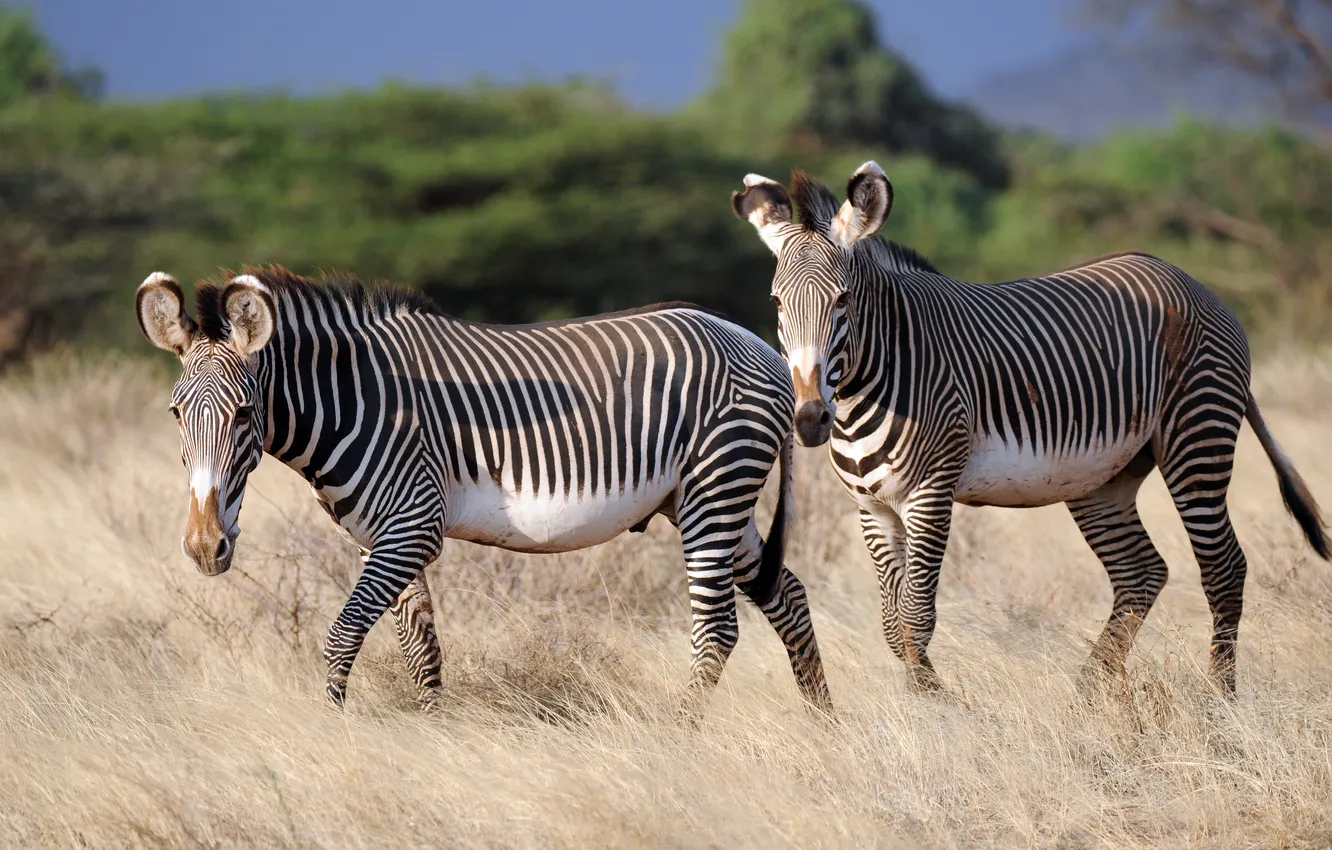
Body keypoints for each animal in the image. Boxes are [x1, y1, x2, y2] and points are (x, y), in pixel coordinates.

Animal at [134, 266, 831, 716]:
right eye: (174, 413)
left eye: (245, 414)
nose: (205, 548)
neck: (356, 401)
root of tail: (761, 346)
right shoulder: (384, 537)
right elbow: (421, 650)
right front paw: (433, 738)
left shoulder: (411, 525)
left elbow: (343, 635)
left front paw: (331, 735)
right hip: (704, 500)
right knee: (788, 596)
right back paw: (823, 725)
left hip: (717, 484)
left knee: (717, 630)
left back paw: (680, 734)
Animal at [732, 161, 1329, 697]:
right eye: (777, 303)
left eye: (843, 300)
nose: (810, 420)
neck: (869, 383)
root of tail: (1192, 282)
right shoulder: (871, 507)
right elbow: (891, 623)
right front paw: (921, 701)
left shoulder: (930, 493)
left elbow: (915, 616)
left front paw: (935, 709)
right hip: (1103, 478)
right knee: (1141, 573)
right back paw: (1086, 695)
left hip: (1197, 437)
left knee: (1223, 568)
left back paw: (1219, 699)